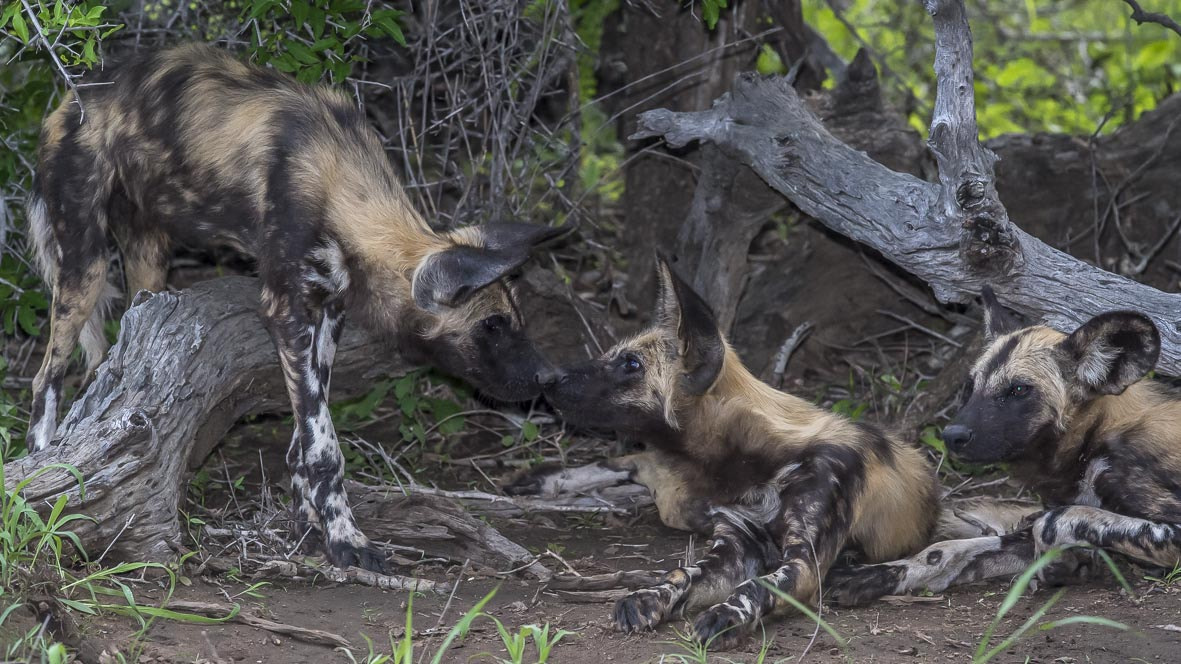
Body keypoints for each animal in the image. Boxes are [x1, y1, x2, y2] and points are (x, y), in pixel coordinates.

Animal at [26, 42, 562, 569]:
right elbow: (325, 445)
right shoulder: (285, 311)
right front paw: (346, 541)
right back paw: (41, 467)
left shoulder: (327, 314)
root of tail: (71, 97)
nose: (548, 377)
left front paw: (308, 524)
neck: (339, 183)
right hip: (86, 265)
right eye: (491, 326)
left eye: (515, 320)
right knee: (46, 375)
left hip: (149, 258)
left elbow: (307, 436)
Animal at [507, 257, 940, 642]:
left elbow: (755, 587)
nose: (546, 377)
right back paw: (542, 480)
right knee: (632, 463)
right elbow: (681, 574)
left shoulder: (804, 563)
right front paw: (647, 597)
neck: (753, 463)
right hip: (676, 503)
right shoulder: (734, 545)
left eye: (631, 364)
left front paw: (724, 617)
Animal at [821, 287, 1181, 602]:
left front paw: (1065, 564)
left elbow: (1051, 524)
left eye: (1019, 390)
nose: (952, 435)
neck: (1090, 442)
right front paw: (877, 575)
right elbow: (945, 550)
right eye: (970, 386)